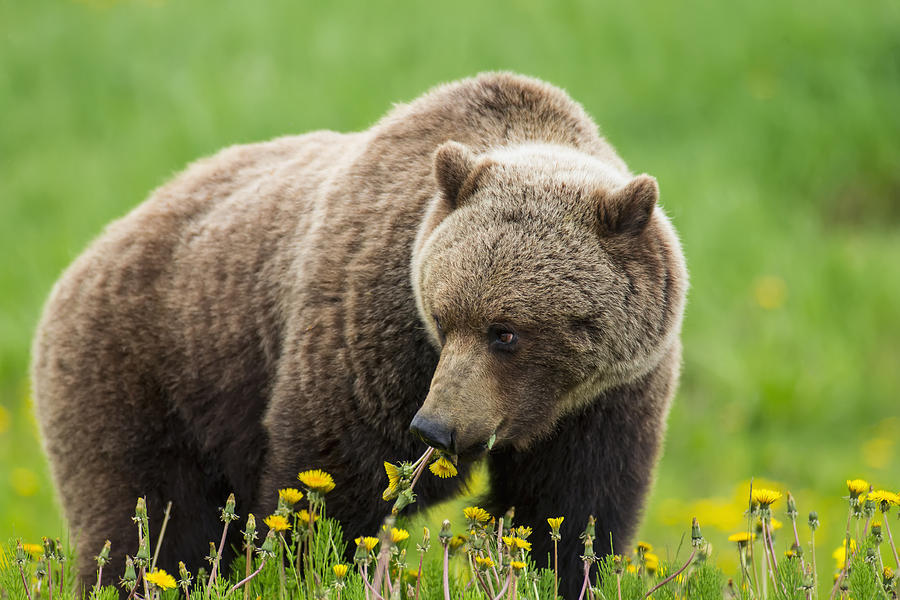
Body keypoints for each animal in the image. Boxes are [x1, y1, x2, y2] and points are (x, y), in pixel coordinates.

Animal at [31, 72, 684, 596]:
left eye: (506, 332)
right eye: (442, 317)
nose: (436, 427)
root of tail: (83, 260)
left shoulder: (610, 399)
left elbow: (569, 513)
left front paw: (560, 571)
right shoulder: (370, 339)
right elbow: (325, 484)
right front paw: (305, 568)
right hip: (151, 376)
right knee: (148, 520)